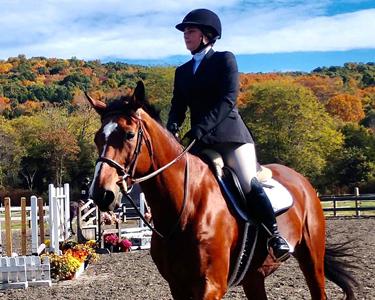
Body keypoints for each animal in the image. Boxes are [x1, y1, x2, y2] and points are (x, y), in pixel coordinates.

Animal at [85, 81, 358, 298]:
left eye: (129, 135)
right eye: (98, 138)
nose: (101, 193)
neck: (184, 205)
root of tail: (301, 180)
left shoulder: (211, 285)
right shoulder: (178, 286)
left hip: (311, 258)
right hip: (254, 275)